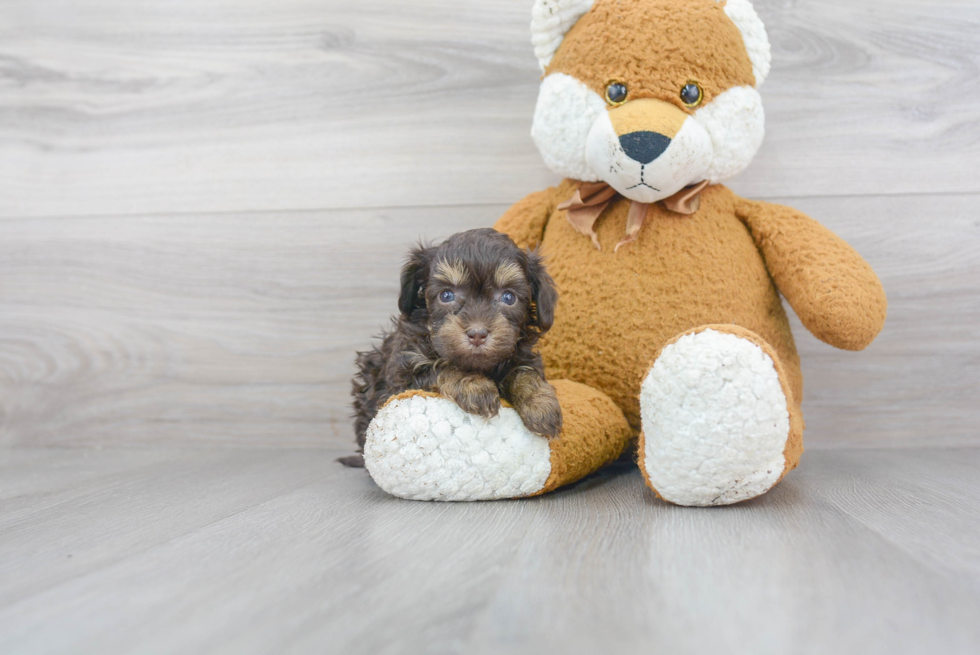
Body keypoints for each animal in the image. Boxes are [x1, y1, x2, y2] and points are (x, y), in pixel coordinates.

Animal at [342, 229, 560, 466]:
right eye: (446, 295)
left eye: (509, 297)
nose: (477, 334)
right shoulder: (402, 375)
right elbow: (441, 367)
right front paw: (474, 386)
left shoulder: (522, 355)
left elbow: (525, 373)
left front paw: (540, 404)